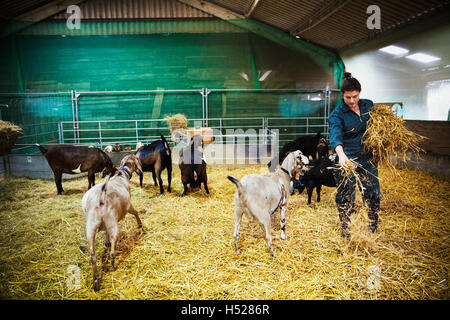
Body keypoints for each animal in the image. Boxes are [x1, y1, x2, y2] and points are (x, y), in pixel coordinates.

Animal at [81, 154, 143, 292]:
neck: (121, 176)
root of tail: (100, 197)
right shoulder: (128, 206)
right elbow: (136, 212)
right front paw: (141, 225)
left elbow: (106, 234)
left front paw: (106, 241)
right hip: (113, 223)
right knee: (112, 252)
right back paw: (112, 267)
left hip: (91, 227)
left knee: (93, 256)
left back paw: (96, 281)